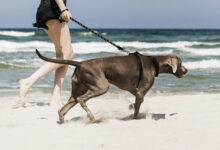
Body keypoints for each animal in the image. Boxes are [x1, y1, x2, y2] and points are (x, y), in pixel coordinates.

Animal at [36, 49, 187, 123]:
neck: (154, 62)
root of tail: (80, 63)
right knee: (82, 99)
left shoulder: (131, 88)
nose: (186, 71)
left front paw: (131, 105)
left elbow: (136, 100)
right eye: (180, 63)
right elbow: (137, 108)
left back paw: (63, 122)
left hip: (77, 90)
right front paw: (135, 118)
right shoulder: (140, 91)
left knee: (63, 109)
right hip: (101, 86)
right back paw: (92, 117)